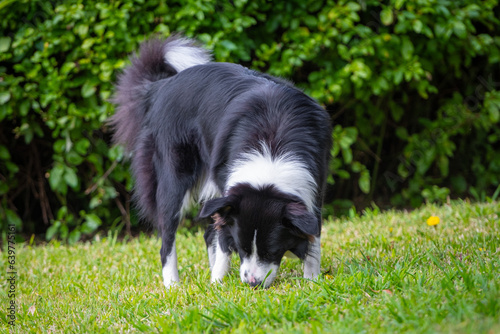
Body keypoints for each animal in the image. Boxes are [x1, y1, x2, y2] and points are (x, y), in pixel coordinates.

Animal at [113, 35, 332, 288]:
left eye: (271, 251)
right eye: (242, 249)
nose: (252, 283)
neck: (271, 151)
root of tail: (160, 86)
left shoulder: (316, 183)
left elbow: (313, 232)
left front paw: (312, 279)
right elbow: (224, 239)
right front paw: (217, 282)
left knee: (209, 231)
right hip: (173, 174)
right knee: (168, 234)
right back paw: (172, 284)